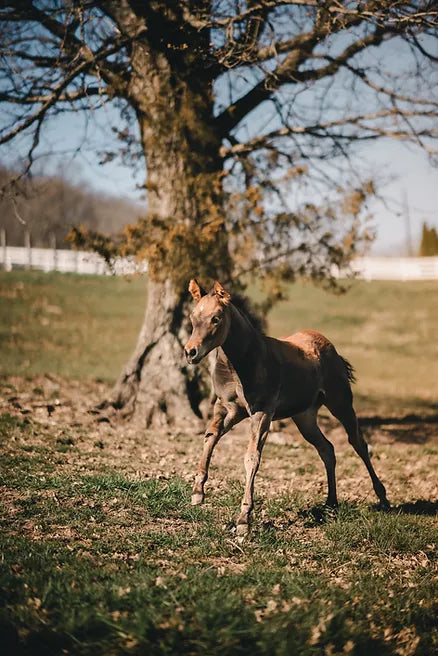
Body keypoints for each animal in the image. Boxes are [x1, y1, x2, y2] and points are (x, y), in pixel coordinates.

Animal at [183, 278, 388, 540]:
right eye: (192, 317)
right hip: (305, 418)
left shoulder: (261, 412)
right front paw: (197, 493)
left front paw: (243, 520)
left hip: (341, 403)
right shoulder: (228, 408)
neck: (240, 363)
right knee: (327, 449)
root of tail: (329, 346)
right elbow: (210, 437)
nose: (190, 352)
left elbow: (252, 457)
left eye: (216, 318)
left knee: (358, 443)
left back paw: (382, 498)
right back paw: (330, 504)